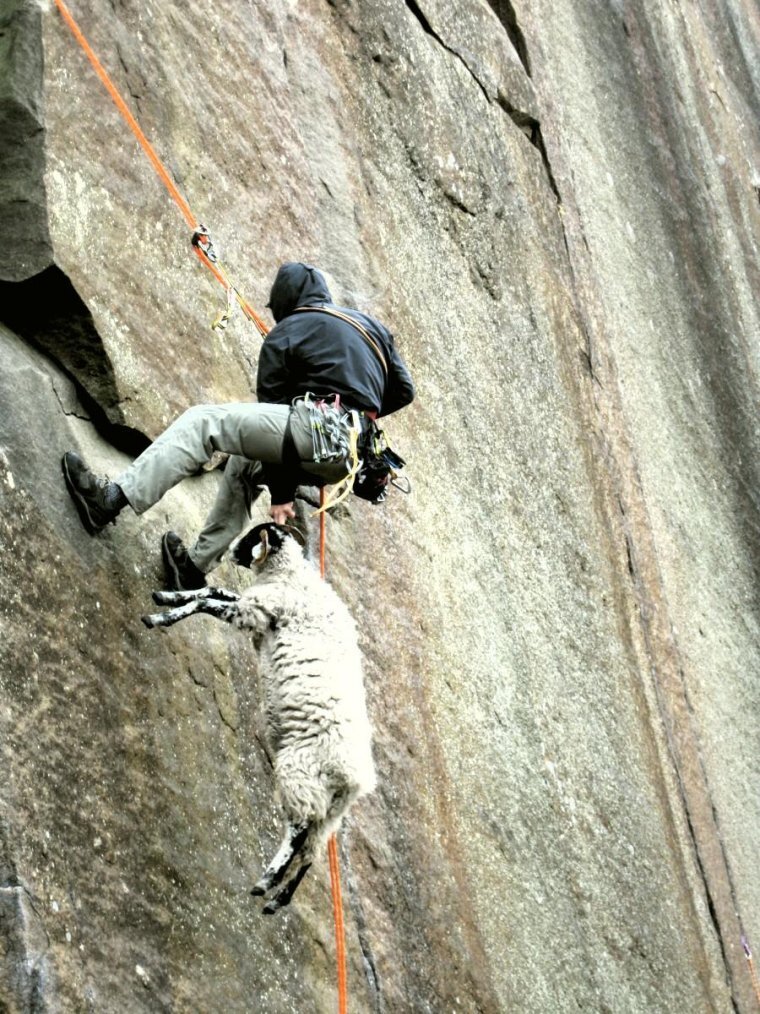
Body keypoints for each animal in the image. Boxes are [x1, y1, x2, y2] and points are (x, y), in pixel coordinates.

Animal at [141, 523, 376, 912]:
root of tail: (357, 780)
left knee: (298, 832)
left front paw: (161, 615)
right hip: (330, 808)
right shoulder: (254, 607)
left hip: (301, 771)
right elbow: (214, 590)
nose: (232, 551)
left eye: (253, 536)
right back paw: (276, 895)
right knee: (310, 852)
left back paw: (268, 880)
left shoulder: (258, 610)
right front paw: (167, 596)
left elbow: (207, 601)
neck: (289, 573)